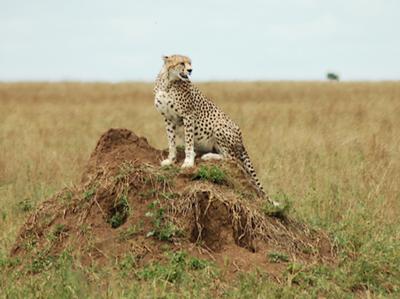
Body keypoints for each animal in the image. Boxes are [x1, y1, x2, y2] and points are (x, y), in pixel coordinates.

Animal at [153, 55, 268, 200]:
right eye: (181, 63)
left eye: (190, 63)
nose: (190, 70)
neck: (168, 82)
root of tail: (241, 137)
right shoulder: (168, 119)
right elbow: (171, 141)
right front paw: (171, 160)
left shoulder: (188, 116)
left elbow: (189, 142)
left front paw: (188, 162)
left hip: (219, 125)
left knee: (233, 159)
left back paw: (208, 156)